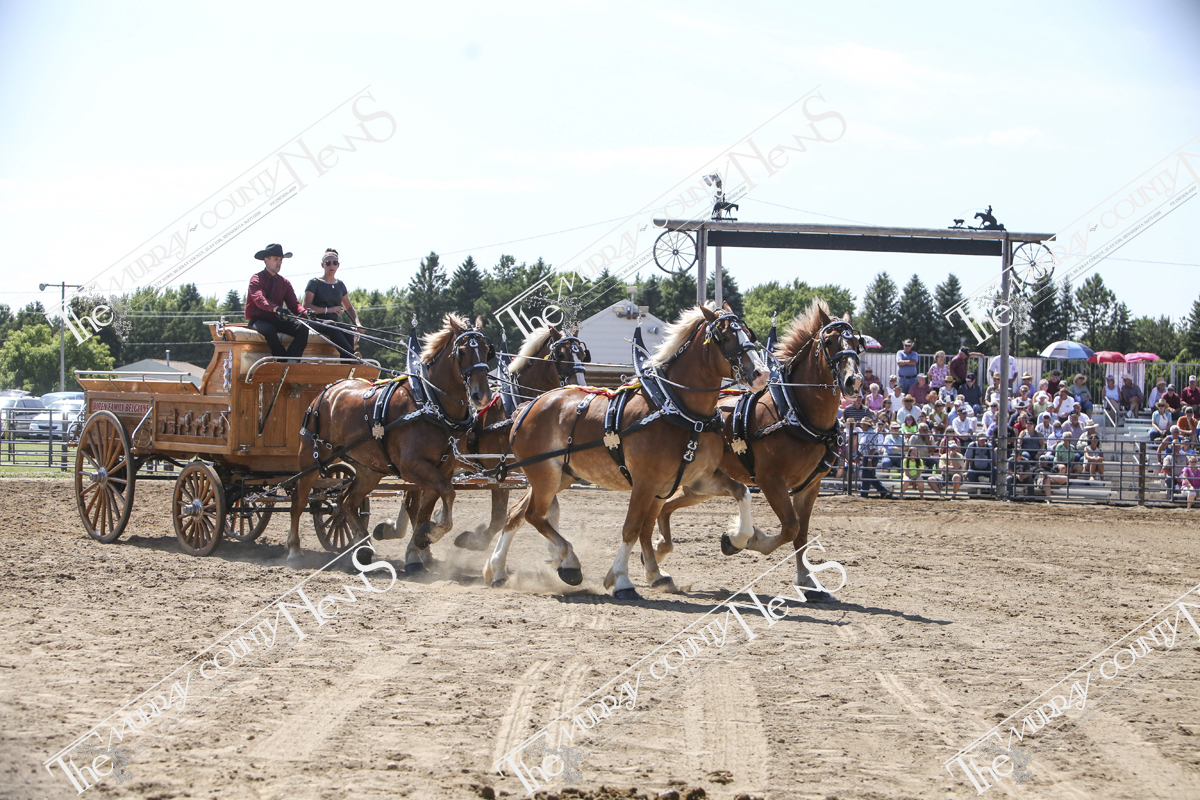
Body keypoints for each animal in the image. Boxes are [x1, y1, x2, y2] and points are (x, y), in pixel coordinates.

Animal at [286, 313, 494, 561]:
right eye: (461, 352)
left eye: (487, 350)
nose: (482, 395)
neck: (430, 403)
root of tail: (326, 390)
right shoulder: (411, 466)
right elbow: (446, 493)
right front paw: (429, 536)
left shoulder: (444, 469)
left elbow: (428, 508)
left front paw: (423, 541)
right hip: (310, 457)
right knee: (298, 500)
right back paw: (294, 549)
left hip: (369, 470)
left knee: (347, 502)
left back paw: (364, 546)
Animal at [483, 302, 769, 600]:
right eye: (724, 337)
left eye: (748, 332)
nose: (762, 374)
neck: (678, 410)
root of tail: (526, 407)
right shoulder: (645, 483)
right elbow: (631, 529)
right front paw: (621, 579)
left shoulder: (693, 480)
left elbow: (741, 492)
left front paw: (733, 540)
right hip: (544, 475)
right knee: (533, 515)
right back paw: (568, 562)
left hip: (560, 475)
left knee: (516, 513)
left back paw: (498, 569)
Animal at [653, 300, 864, 601]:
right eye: (829, 341)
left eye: (857, 343)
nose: (853, 381)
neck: (796, 411)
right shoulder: (770, 481)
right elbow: (790, 528)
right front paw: (744, 540)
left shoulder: (809, 488)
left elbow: (802, 535)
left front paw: (808, 582)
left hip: (700, 487)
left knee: (666, 506)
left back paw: (660, 550)